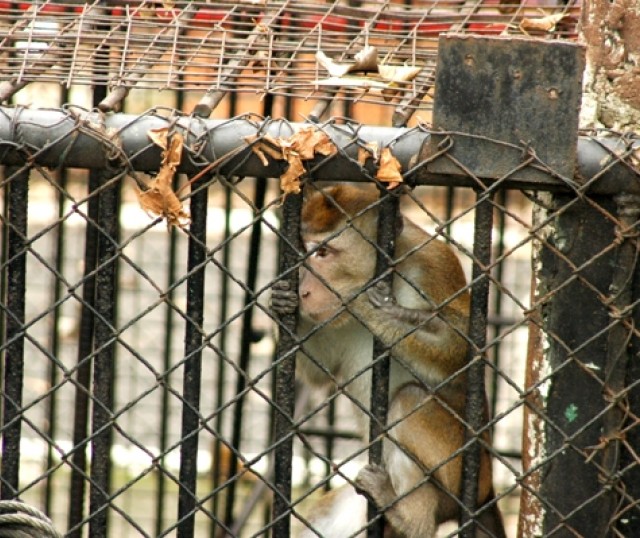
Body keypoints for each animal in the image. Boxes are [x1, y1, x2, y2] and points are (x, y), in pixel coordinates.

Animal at [270, 182, 504, 532]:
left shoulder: (434, 264)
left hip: (463, 473)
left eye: (323, 253)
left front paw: (382, 313)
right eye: (302, 252)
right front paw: (282, 301)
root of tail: (486, 494)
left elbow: (463, 346)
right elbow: (318, 373)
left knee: (409, 401)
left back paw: (410, 519)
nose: (304, 290)